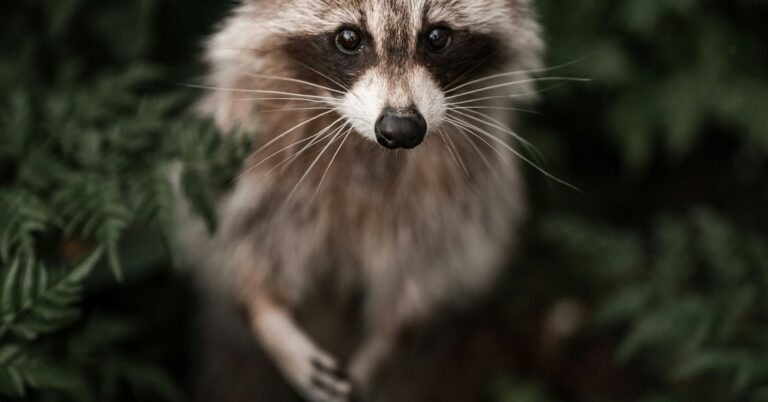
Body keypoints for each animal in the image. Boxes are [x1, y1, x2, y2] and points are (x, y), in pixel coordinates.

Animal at [179, 1, 543, 401]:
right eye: (349, 38)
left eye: (437, 36)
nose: (401, 130)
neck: (371, 151)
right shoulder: (251, 166)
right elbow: (238, 237)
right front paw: (263, 308)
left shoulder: (462, 200)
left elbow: (429, 270)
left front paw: (386, 339)